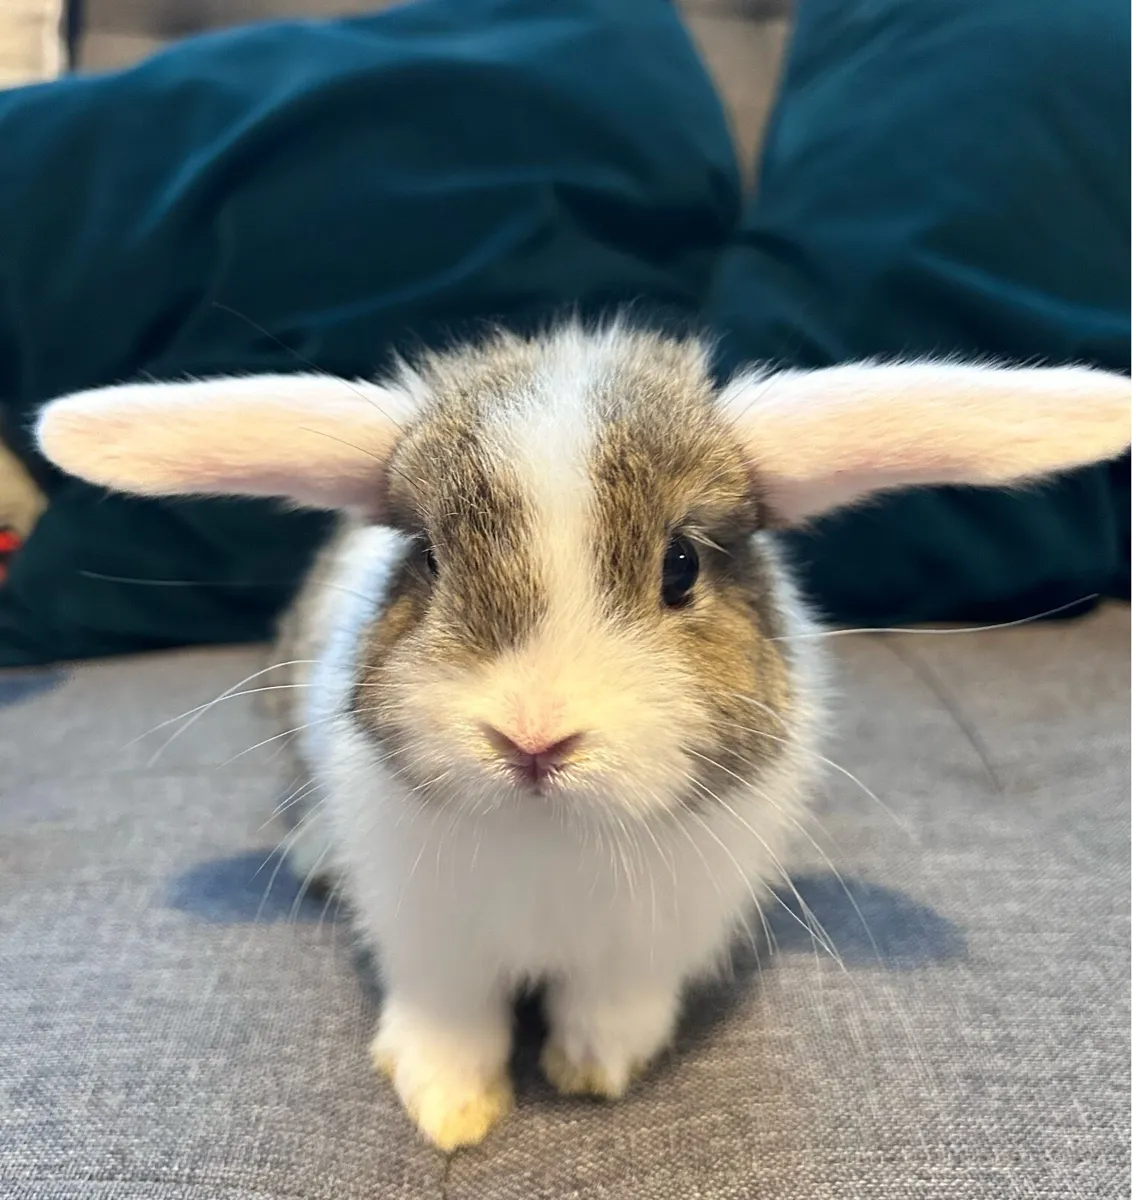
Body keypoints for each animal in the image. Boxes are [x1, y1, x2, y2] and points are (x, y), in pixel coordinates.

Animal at [35, 322, 1131, 1152]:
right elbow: (450, 1021)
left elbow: (611, 1009)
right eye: (427, 558)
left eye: (682, 567)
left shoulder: (648, 945)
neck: (548, 838)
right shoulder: (429, 939)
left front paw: (591, 1069)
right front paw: (449, 1110)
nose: (532, 738)